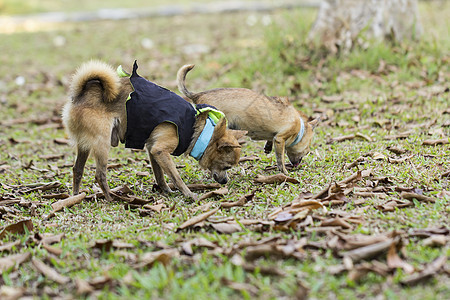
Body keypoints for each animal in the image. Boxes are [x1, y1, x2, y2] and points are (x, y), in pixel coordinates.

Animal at [62, 60, 244, 202]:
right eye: (227, 167)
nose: (225, 181)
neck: (197, 129)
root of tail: (80, 96)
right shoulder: (160, 150)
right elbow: (176, 177)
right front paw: (188, 194)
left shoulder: (153, 149)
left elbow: (160, 175)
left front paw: (167, 191)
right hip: (102, 143)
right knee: (100, 175)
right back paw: (110, 199)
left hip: (85, 145)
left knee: (77, 170)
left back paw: (75, 197)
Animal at [177, 64, 320, 175]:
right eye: (307, 151)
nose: (299, 163)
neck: (300, 128)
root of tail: (197, 95)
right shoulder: (281, 139)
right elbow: (280, 158)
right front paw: (284, 171)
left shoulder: (275, 137)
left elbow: (271, 139)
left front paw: (268, 147)